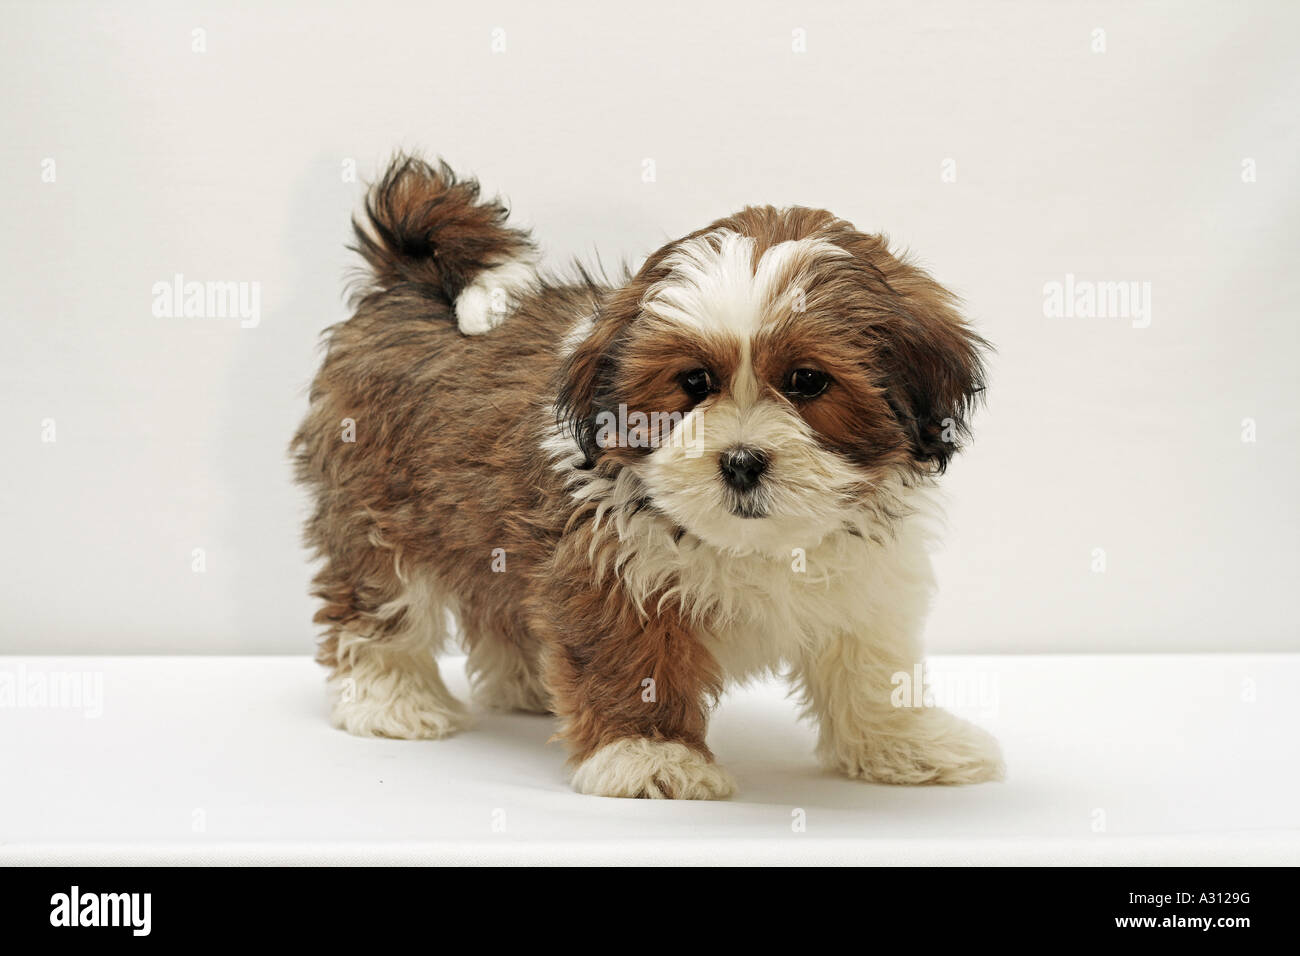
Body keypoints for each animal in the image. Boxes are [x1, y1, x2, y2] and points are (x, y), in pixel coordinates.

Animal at [292, 155, 1003, 801]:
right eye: (693, 382)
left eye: (808, 381)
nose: (741, 461)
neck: (757, 544)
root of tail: (409, 282)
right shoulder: (607, 566)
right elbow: (631, 663)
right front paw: (648, 757)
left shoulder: (865, 583)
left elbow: (870, 667)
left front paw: (905, 745)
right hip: (376, 507)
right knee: (380, 602)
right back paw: (391, 699)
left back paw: (527, 685)